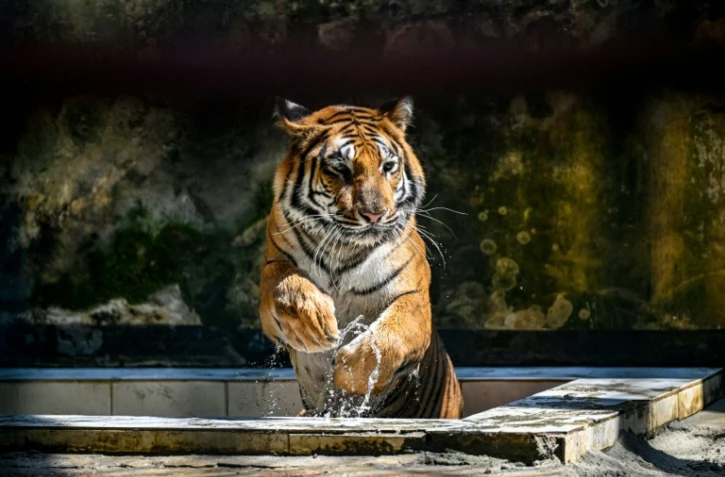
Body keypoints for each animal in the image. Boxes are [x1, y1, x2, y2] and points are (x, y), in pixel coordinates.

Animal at [258, 96, 463, 419]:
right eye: (340, 169)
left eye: (388, 166)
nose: (375, 214)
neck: (342, 248)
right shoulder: (274, 266)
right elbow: (284, 286)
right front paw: (315, 325)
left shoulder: (414, 298)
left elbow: (389, 337)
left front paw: (345, 373)